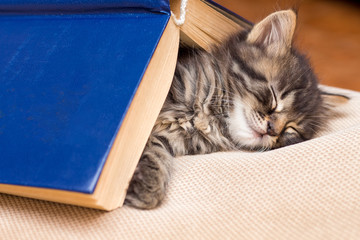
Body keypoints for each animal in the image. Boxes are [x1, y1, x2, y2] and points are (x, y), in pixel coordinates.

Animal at [124, 9, 348, 208]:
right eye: (275, 97)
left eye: (291, 129)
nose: (272, 130)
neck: (210, 116)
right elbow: (141, 139)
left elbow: (155, 148)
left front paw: (147, 183)